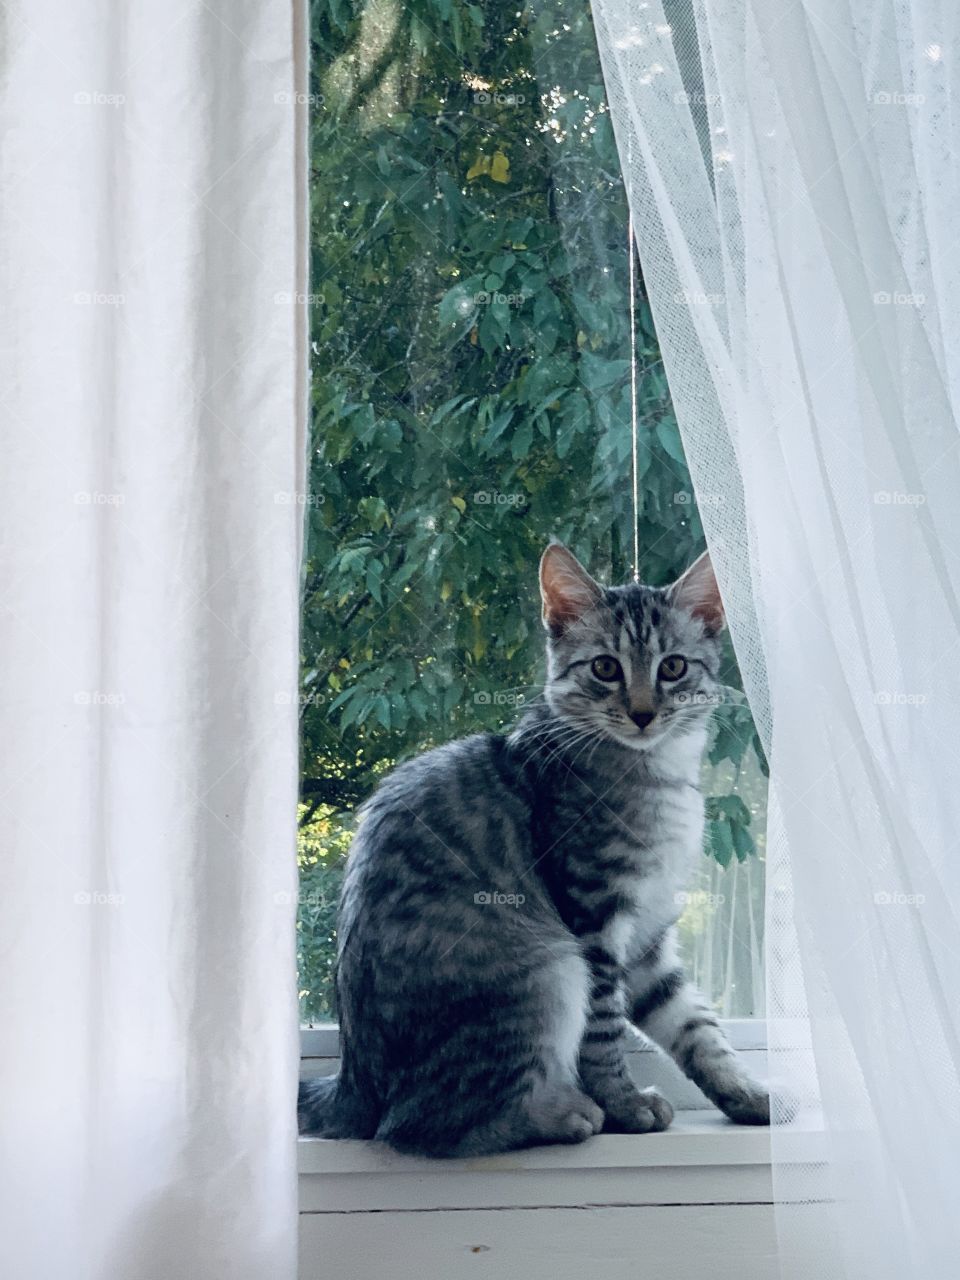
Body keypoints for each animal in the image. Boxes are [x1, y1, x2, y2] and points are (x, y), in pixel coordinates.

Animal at [300, 542, 773, 1162]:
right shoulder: (595, 917)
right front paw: (625, 1105)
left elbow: (694, 1026)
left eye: (673, 667)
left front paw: (747, 1092)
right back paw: (563, 1115)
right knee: (418, 1125)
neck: (657, 774)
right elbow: (604, 1029)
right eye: (605, 668)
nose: (643, 712)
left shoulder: (648, 935)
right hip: (549, 968)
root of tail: (353, 1083)